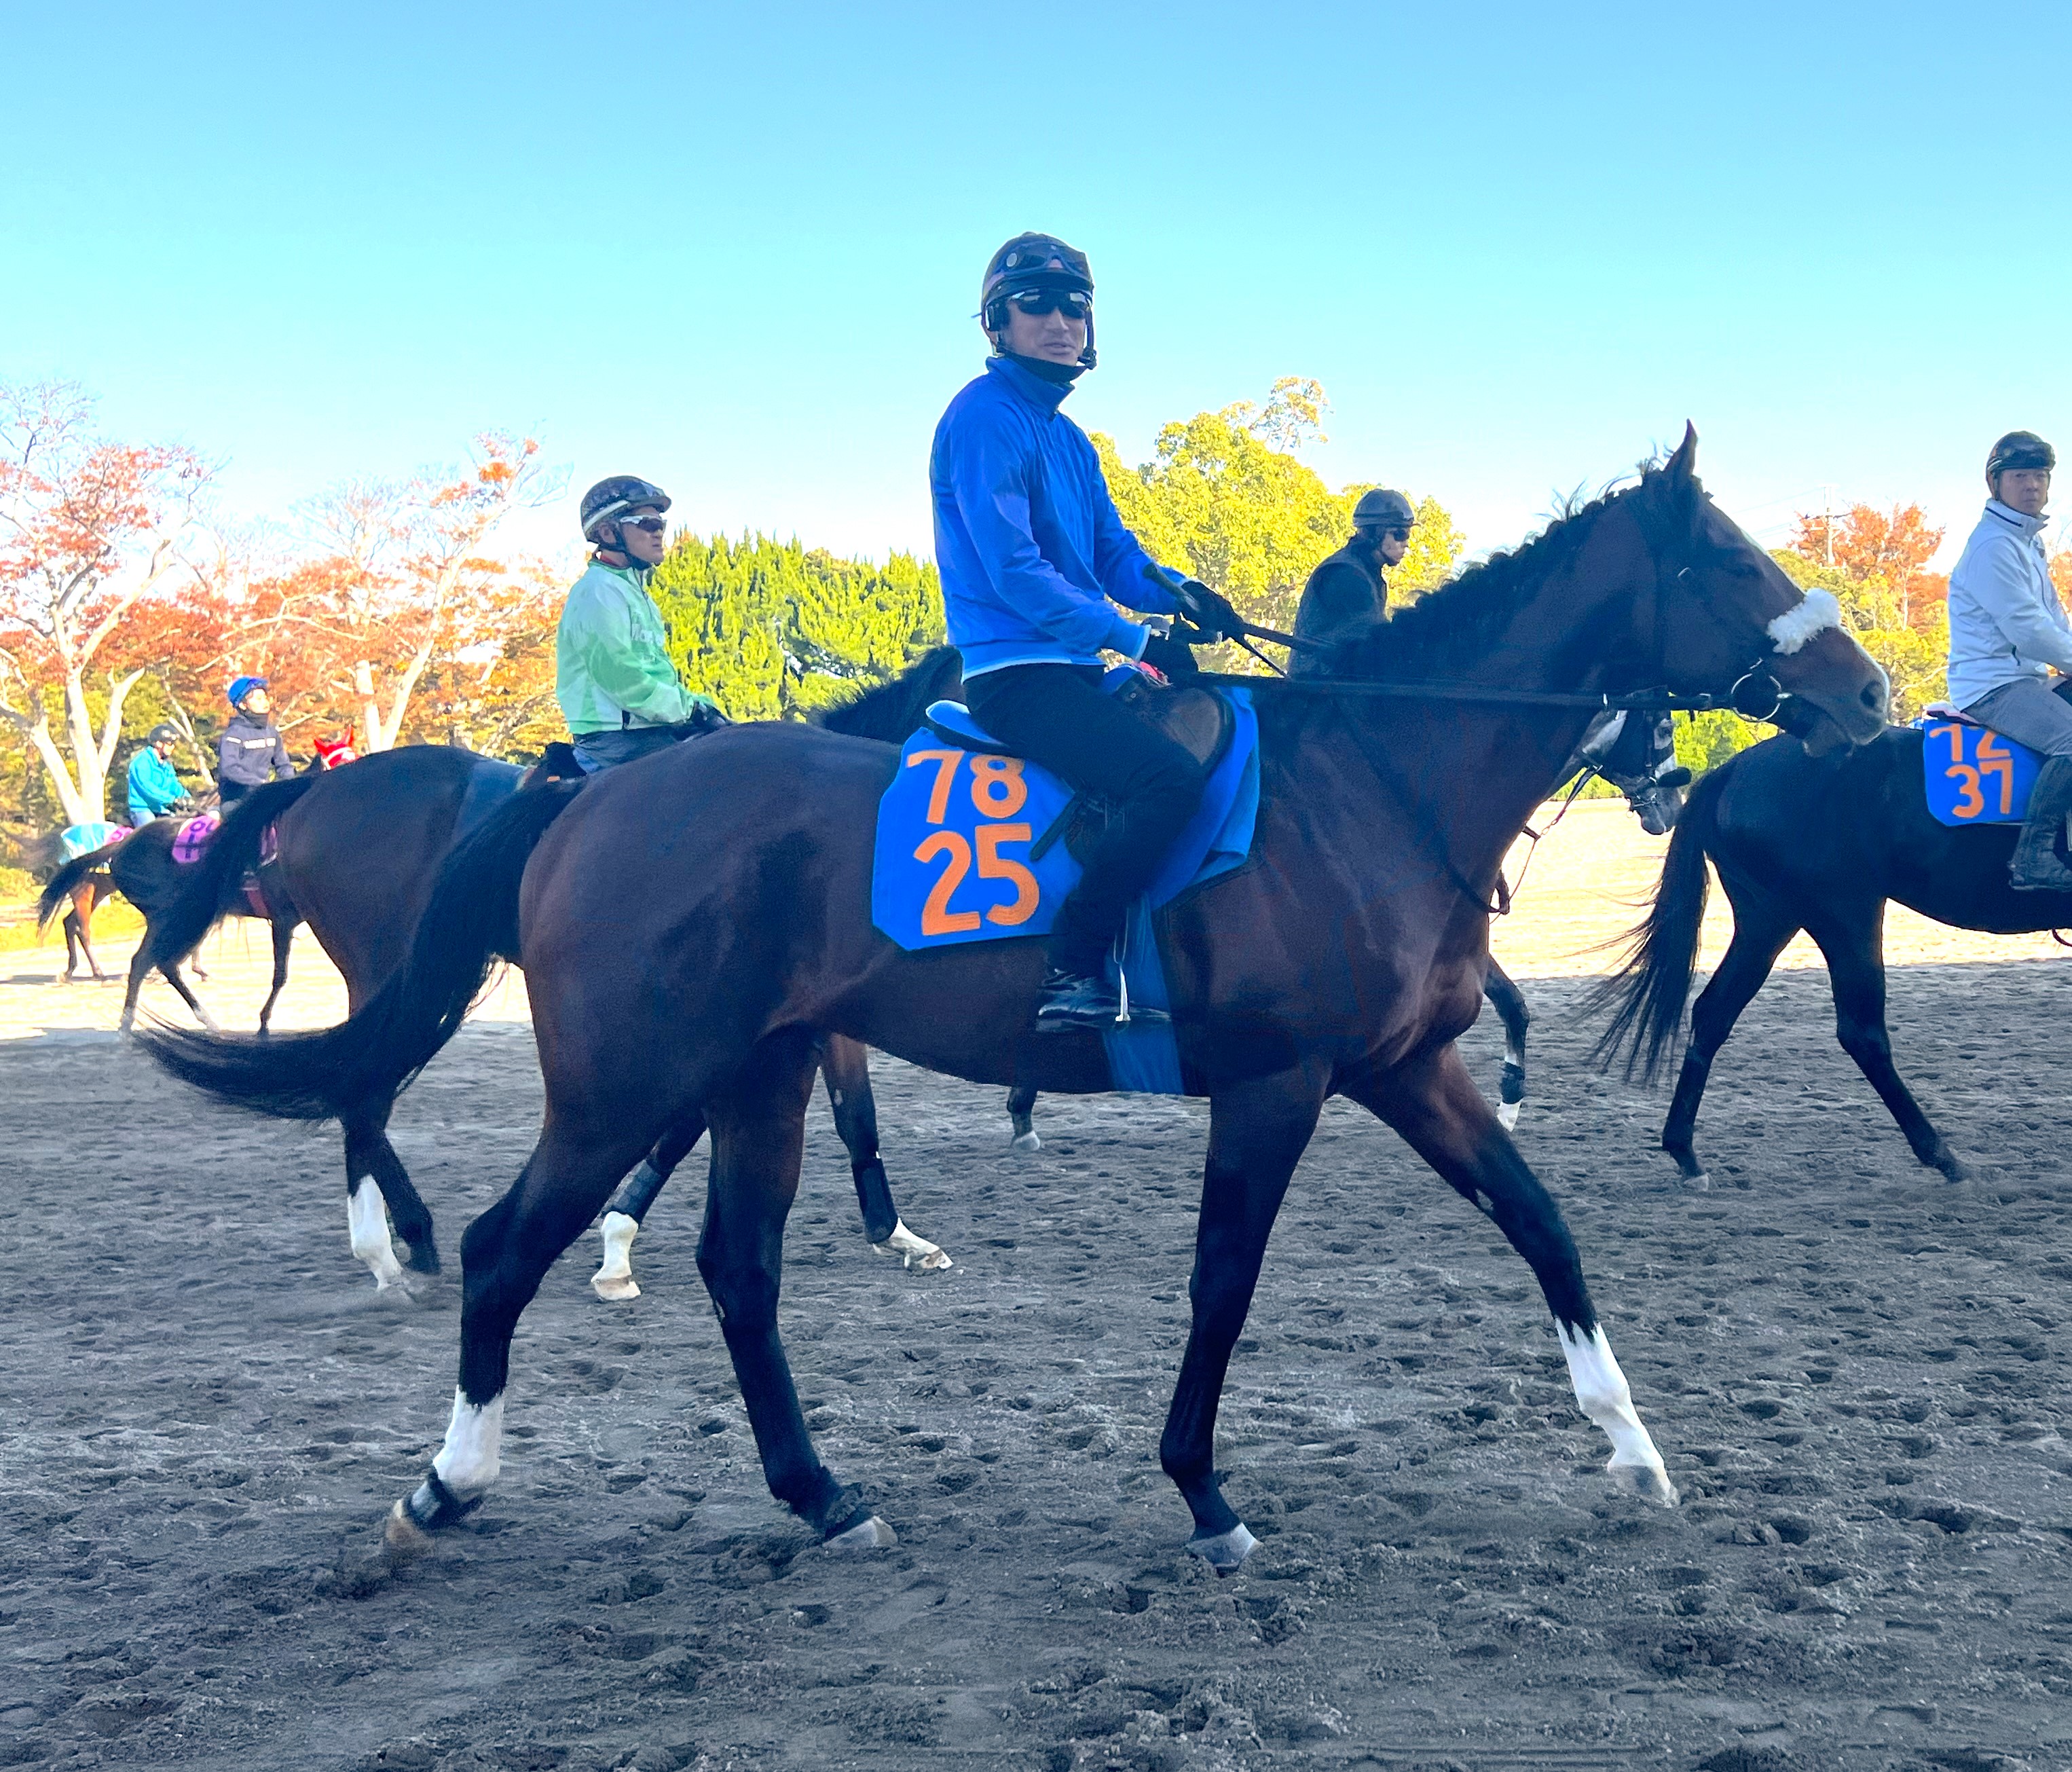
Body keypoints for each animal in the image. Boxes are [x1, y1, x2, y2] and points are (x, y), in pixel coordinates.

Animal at [137, 663, 969, 1293]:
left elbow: (849, 1117)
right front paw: (617, 1246)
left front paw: (899, 1234)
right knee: (362, 1096)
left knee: (355, 1088)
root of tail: (316, 793)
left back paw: (389, 1246)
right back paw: (400, 1245)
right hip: (386, 970)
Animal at [1590, 717, 2072, 1187]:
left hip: (1768, 921)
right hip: (1846, 915)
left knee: (1714, 1014)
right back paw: (1941, 1155)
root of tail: (1732, 771)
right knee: (1862, 1034)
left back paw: (1686, 1154)